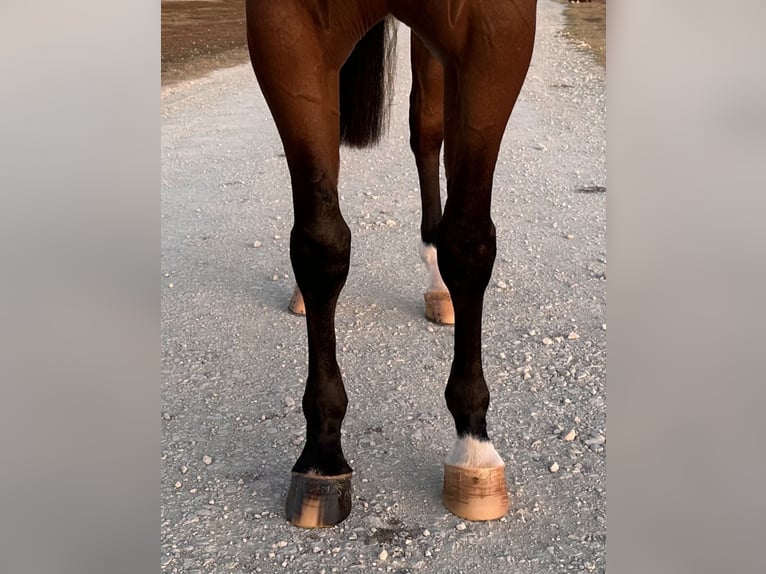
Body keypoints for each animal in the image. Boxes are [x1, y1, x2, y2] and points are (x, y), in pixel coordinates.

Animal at [245, 0, 537, 528]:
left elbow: (467, 241)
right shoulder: (285, 29)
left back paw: (439, 285)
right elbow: (321, 243)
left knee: (428, 128)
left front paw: (473, 443)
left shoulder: (496, 31)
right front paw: (322, 455)